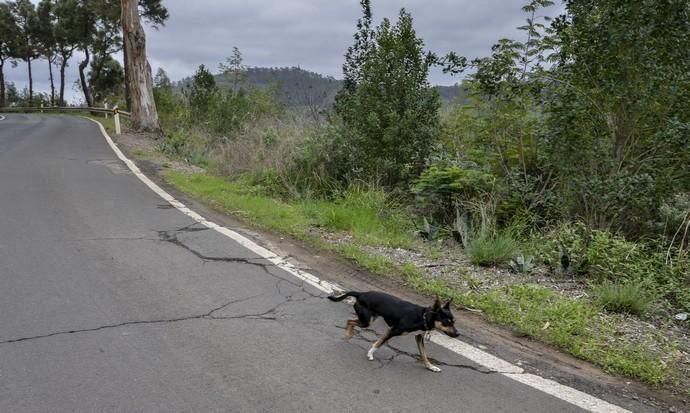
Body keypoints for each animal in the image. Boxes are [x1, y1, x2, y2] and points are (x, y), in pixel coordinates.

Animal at [328, 288, 456, 372]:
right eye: (447, 323)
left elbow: (424, 354)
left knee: (350, 321)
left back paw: (348, 335)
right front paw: (370, 354)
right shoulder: (392, 331)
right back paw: (347, 334)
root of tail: (361, 294)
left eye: (454, 321)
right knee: (350, 321)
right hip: (366, 321)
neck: (422, 317)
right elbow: (378, 343)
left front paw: (430, 366)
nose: (458, 334)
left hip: (368, 319)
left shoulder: (419, 337)